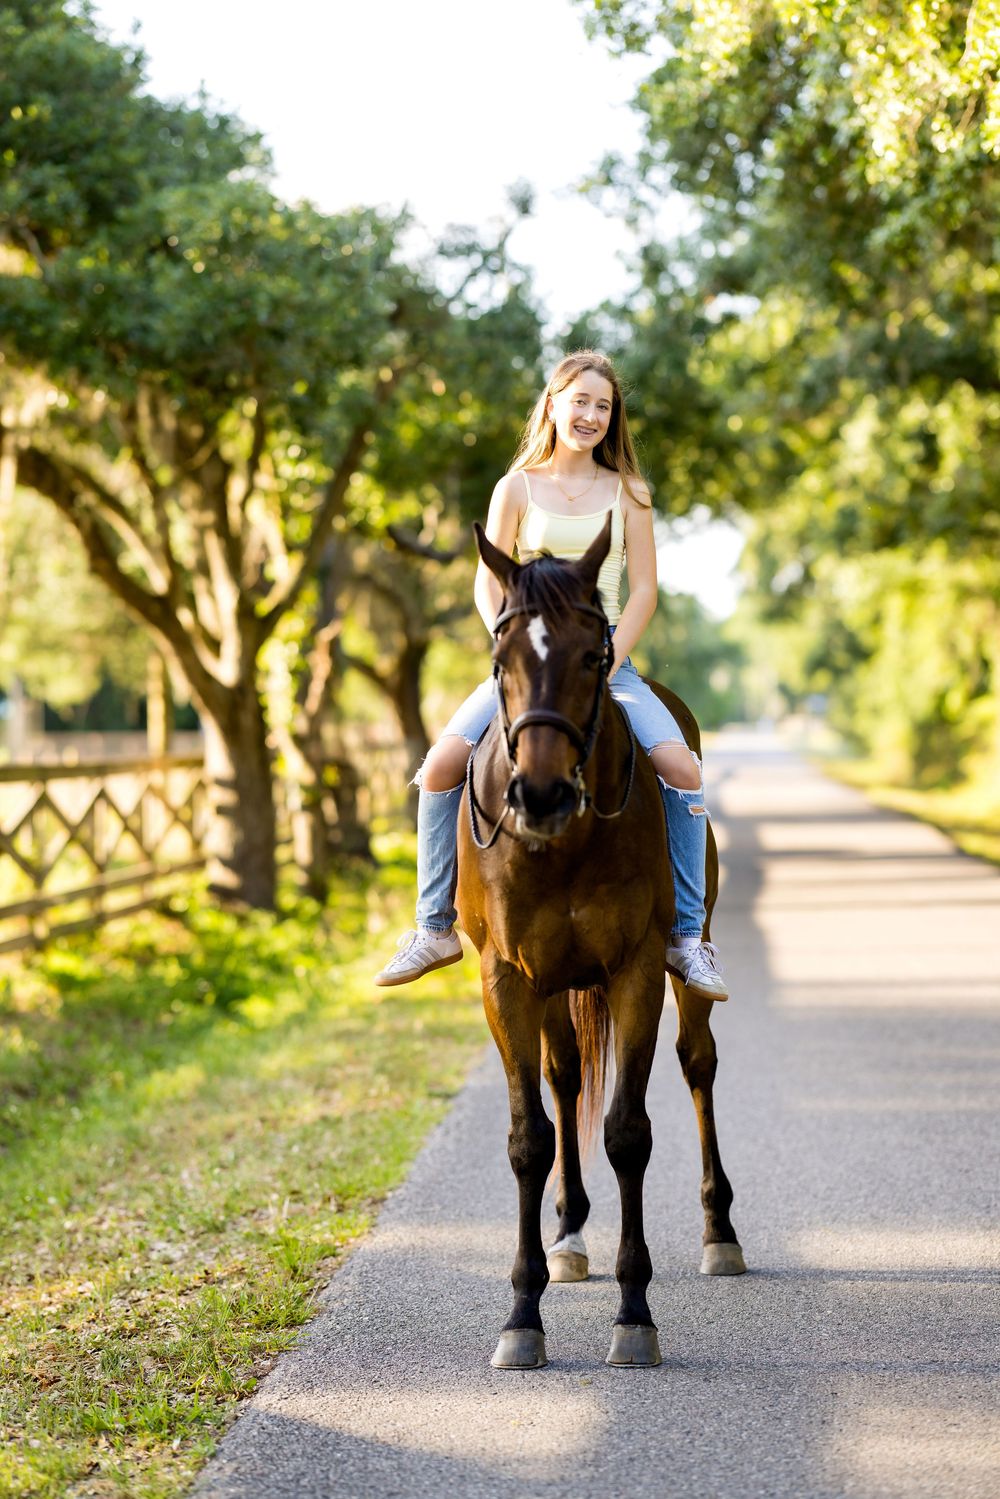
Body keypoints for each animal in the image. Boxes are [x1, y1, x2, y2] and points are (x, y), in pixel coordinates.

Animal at [456, 517, 745, 1370]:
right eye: (501, 661)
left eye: (594, 657)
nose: (540, 794)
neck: (566, 838)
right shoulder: (508, 980)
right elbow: (530, 1138)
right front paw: (522, 1314)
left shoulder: (636, 969)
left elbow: (627, 1132)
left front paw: (634, 1311)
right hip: (550, 986)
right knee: (564, 1077)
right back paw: (569, 1234)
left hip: (685, 959)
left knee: (697, 1064)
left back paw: (720, 1231)